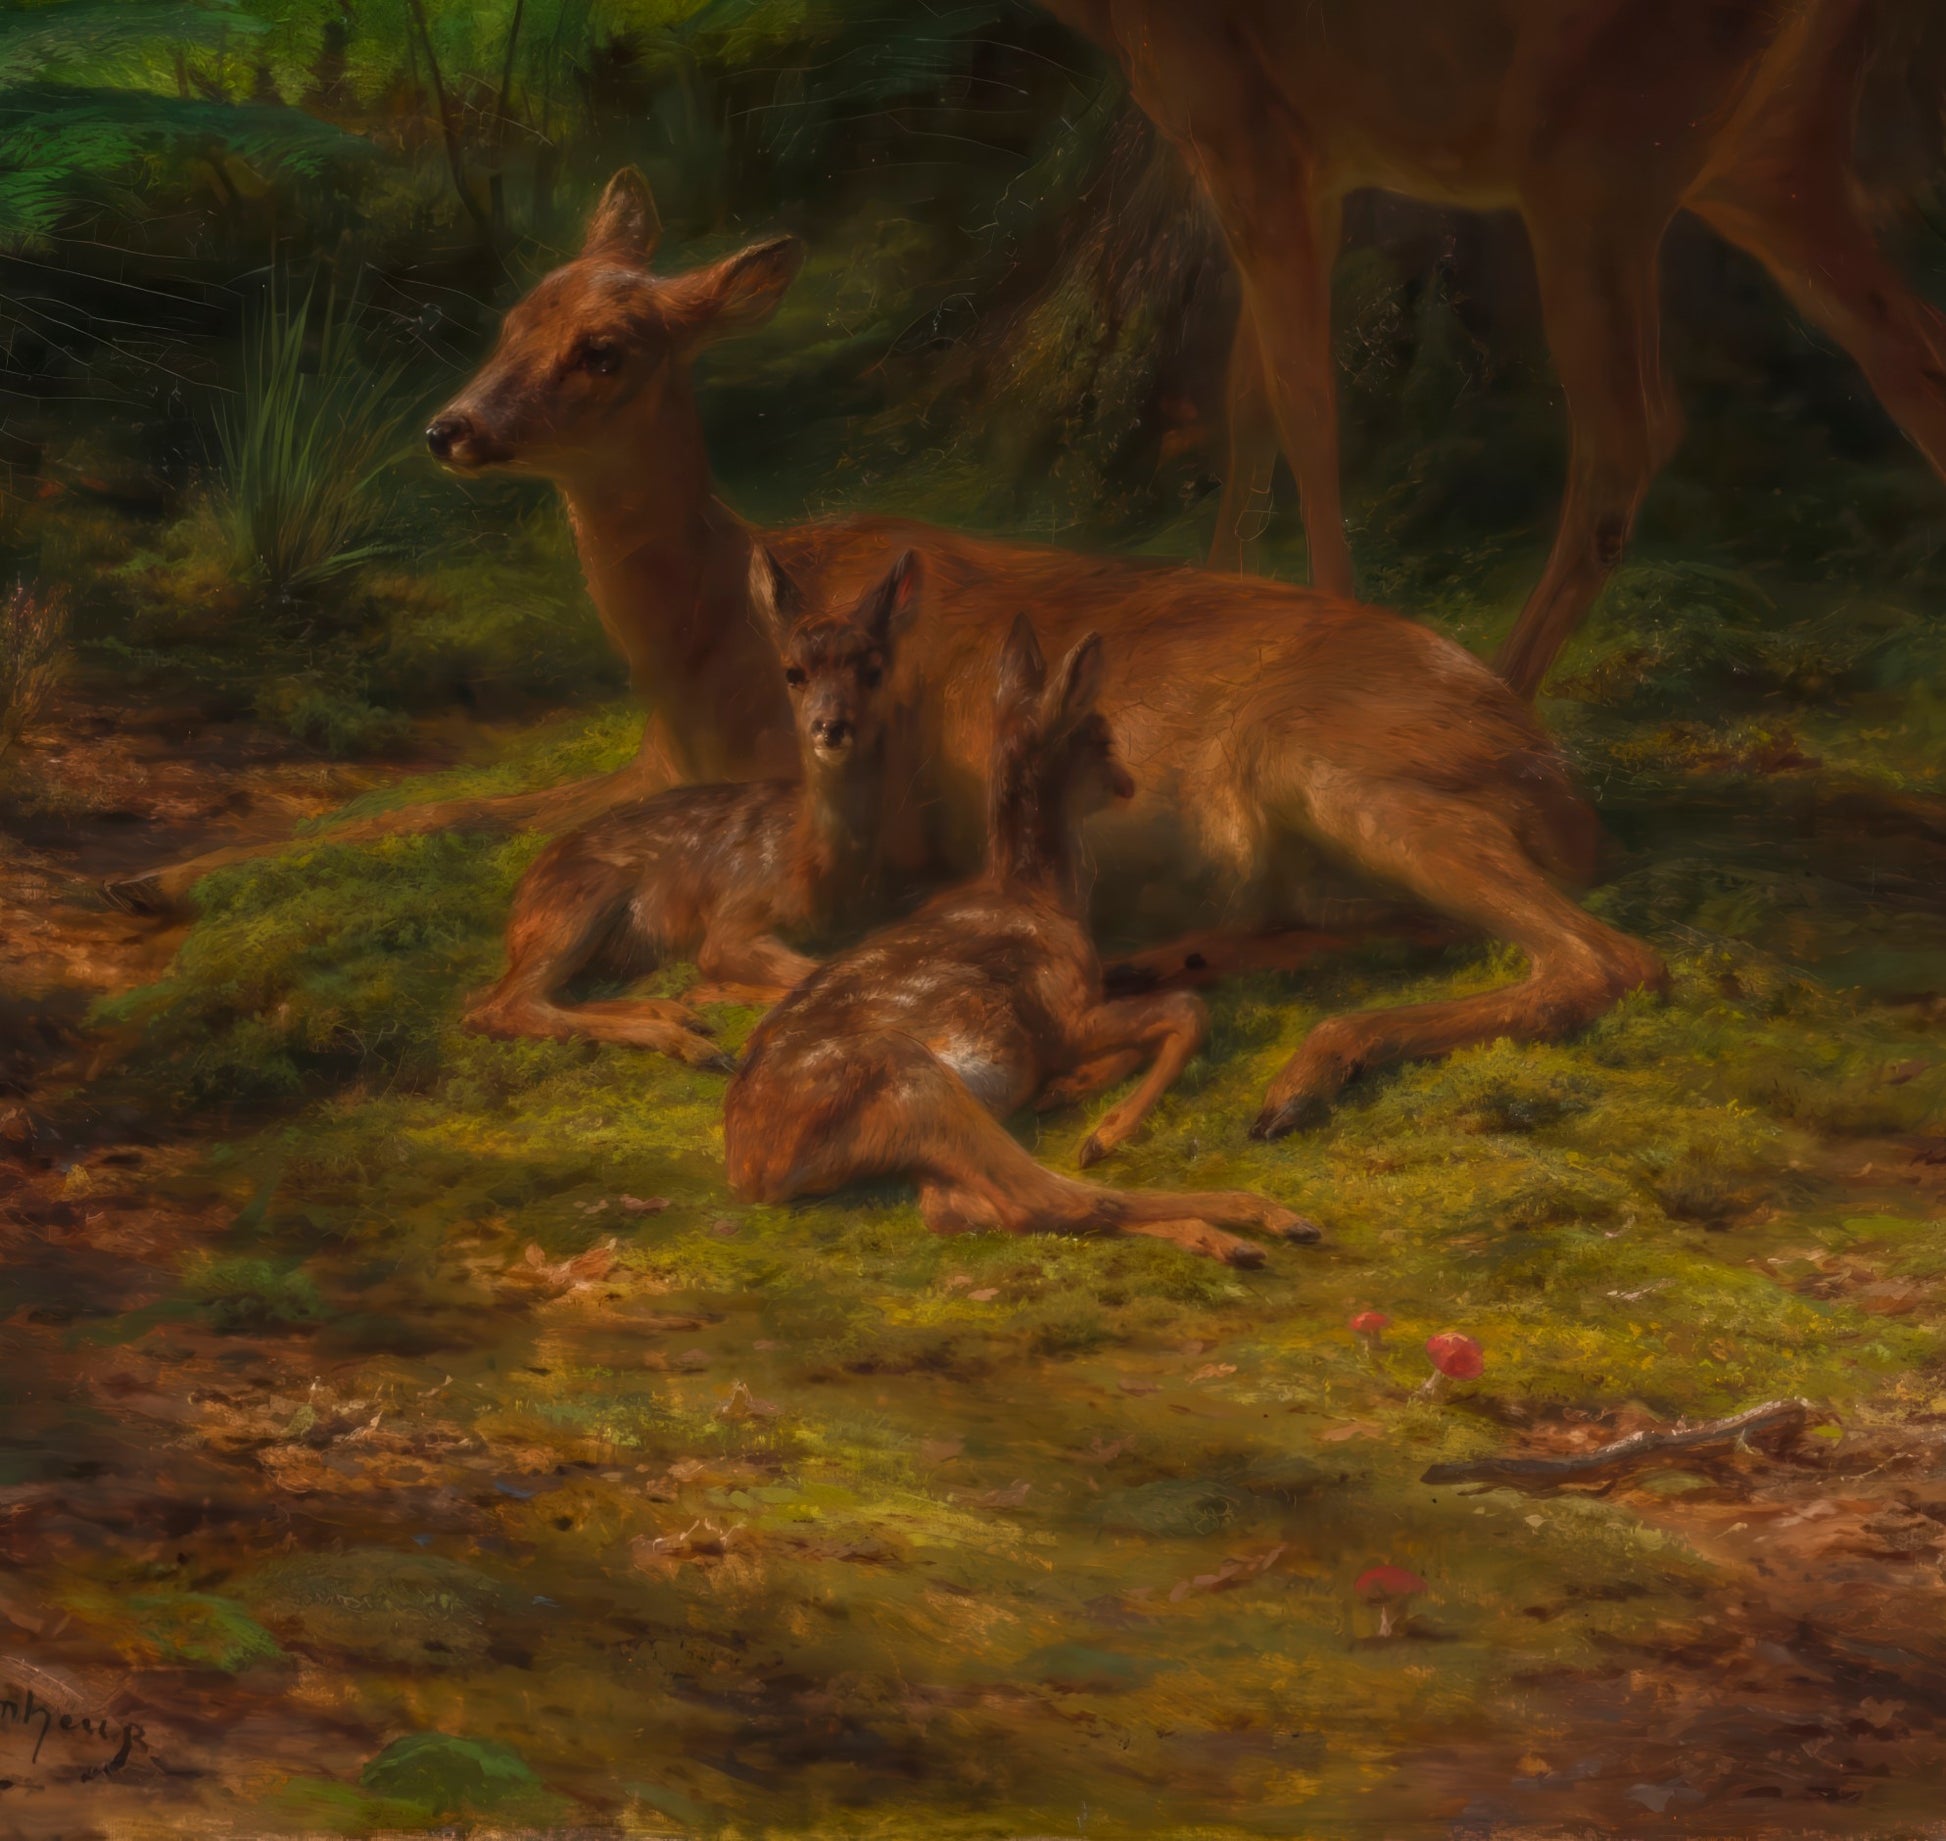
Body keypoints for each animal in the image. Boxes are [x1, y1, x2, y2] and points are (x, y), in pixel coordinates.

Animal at [462, 547, 920, 1067]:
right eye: (793, 672)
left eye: (873, 670)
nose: (831, 726)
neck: (815, 868)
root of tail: (518, 908)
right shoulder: (734, 917)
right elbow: (813, 970)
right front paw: (714, 992)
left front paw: (708, 995)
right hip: (582, 897)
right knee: (499, 1005)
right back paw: (689, 1041)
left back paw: (674, 1013)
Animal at [725, 610, 1319, 1267]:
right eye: (1098, 737)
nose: (1126, 782)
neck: (1040, 898)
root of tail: (751, 1172)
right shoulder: (1063, 1014)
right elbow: (1189, 1010)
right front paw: (1108, 1130)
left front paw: (1070, 1089)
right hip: (911, 1079)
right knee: (1043, 1200)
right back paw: (1260, 1223)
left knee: (962, 1210)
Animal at [1041, 0, 1946, 697]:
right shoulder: (1299, 161)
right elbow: (1250, 395)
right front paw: (1217, 611)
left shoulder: (1242, 128)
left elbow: (1303, 403)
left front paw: (1325, 631)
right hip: (1768, 153)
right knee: (1913, 352)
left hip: (1593, 152)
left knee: (1631, 434)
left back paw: (1501, 698)